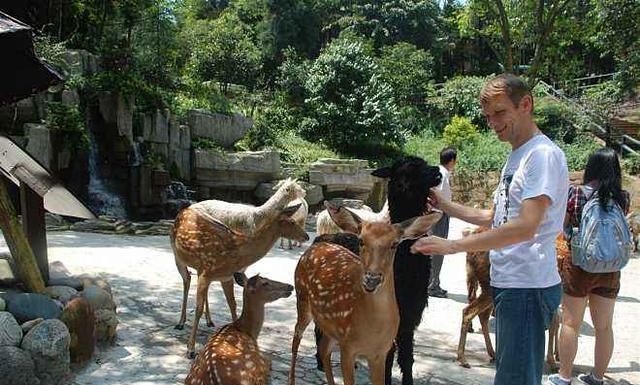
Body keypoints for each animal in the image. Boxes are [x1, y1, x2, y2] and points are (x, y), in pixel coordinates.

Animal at [171, 178, 308, 356]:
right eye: (291, 222)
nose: (306, 236)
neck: (235, 250)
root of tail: (184, 210)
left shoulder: (225, 276)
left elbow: (233, 304)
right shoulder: (207, 271)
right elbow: (198, 308)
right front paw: (191, 349)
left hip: (200, 269)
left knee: (198, 286)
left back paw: (210, 321)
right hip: (177, 256)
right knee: (186, 280)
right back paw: (180, 322)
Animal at [288, 204, 440, 384]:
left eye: (394, 244)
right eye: (361, 240)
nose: (372, 278)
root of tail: (314, 246)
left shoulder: (381, 352)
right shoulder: (348, 347)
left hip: (330, 327)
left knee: (324, 348)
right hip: (302, 298)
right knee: (296, 338)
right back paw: (291, 379)